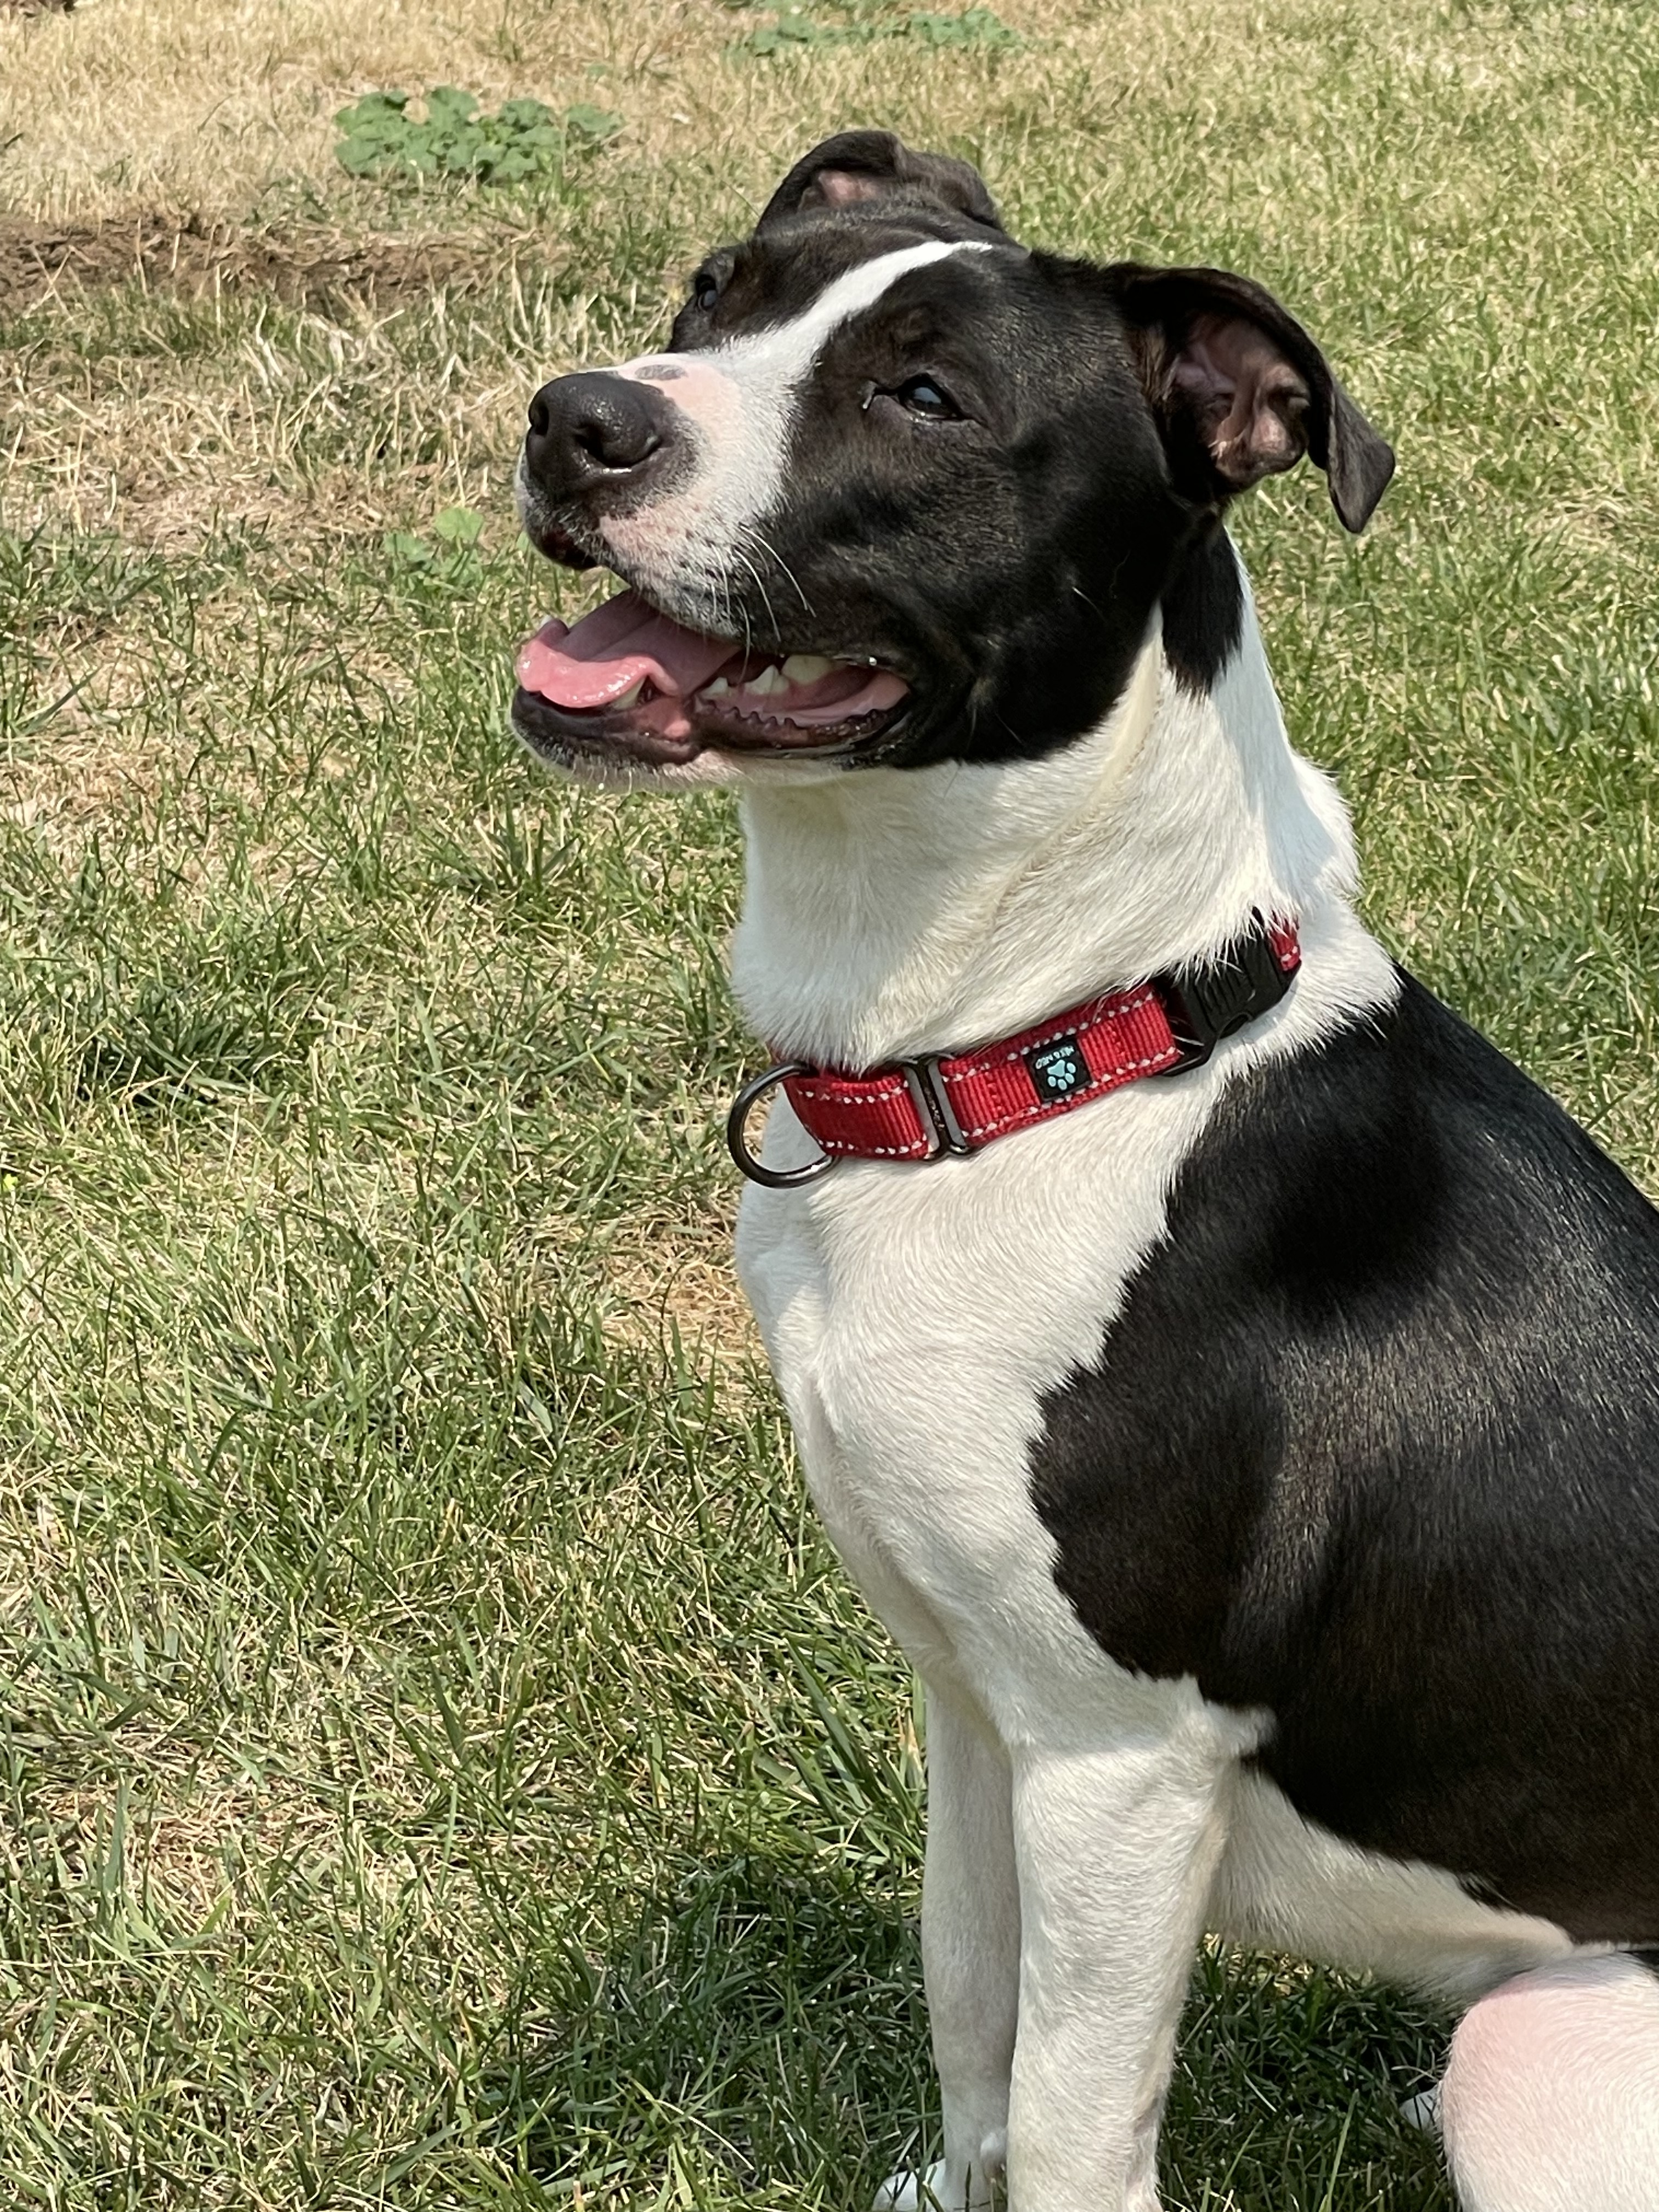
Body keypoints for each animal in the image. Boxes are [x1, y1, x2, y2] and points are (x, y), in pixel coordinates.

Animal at [513, 133, 1659, 2212]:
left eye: (924, 396)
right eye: (715, 289)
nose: (578, 420)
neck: (1047, 1045)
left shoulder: (1118, 1764)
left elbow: (1066, 2113)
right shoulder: (975, 1706)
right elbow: (968, 1993)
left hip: (1547, 2052)